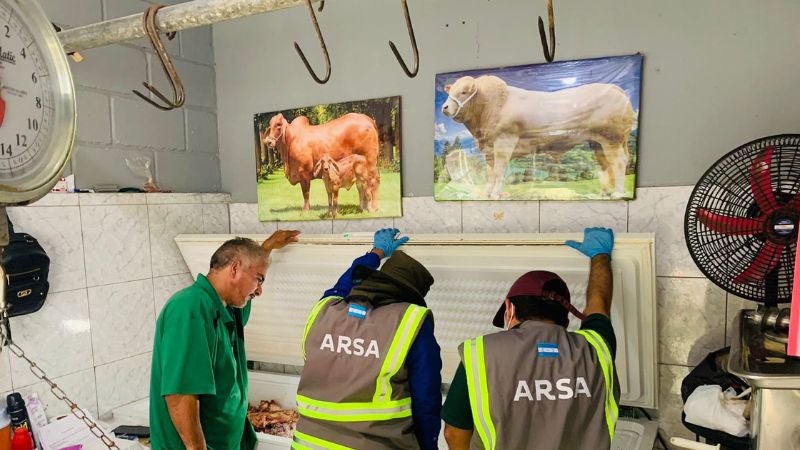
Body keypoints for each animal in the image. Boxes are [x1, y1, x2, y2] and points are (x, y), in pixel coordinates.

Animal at [440, 74, 636, 198]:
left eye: (464, 92)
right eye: (450, 92)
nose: (444, 107)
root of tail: (616, 88)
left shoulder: (504, 141)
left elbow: (499, 171)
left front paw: (495, 195)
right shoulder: (488, 148)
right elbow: (490, 172)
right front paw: (487, 193)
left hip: (612, 138)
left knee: (618, 162)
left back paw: (618, 193)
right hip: (597, 142)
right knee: (605, 164)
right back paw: (605, 192)